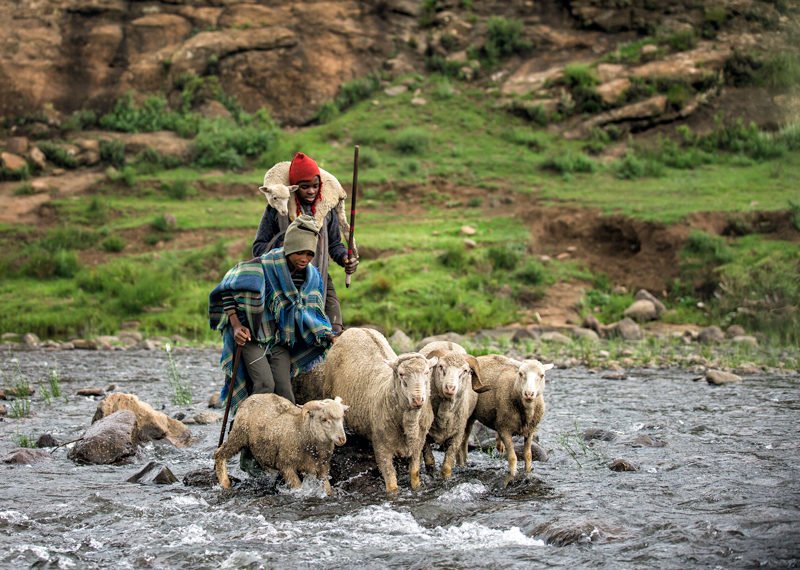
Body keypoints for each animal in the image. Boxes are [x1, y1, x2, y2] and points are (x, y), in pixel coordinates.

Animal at [214, 390, 348, 492]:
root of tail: (252, 397)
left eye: (342, 417)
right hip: (238, 435)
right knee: (219, 454)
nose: (342, 439)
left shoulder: (322, 468)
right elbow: (298, 487)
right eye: (324, 419)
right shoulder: (286, 466)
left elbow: (327, 488)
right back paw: (225, 483)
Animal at [320, 328, 438, 492]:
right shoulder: (382, 448)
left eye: (427, 372)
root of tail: (354, 329)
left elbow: (414, 473)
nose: (418, 399)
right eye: (401, 374)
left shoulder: (418, 444)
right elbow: (391, 483)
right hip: (327, 389)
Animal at [418, 340, 488, 478]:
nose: (450, 387)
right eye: (440, 367)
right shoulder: (424, 432)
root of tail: (447, 342)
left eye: (465, 370)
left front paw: (445, 477)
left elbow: (448, 463)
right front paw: (431, 474)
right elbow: (429, 458)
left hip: (468, 424)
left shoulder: (457, 434)